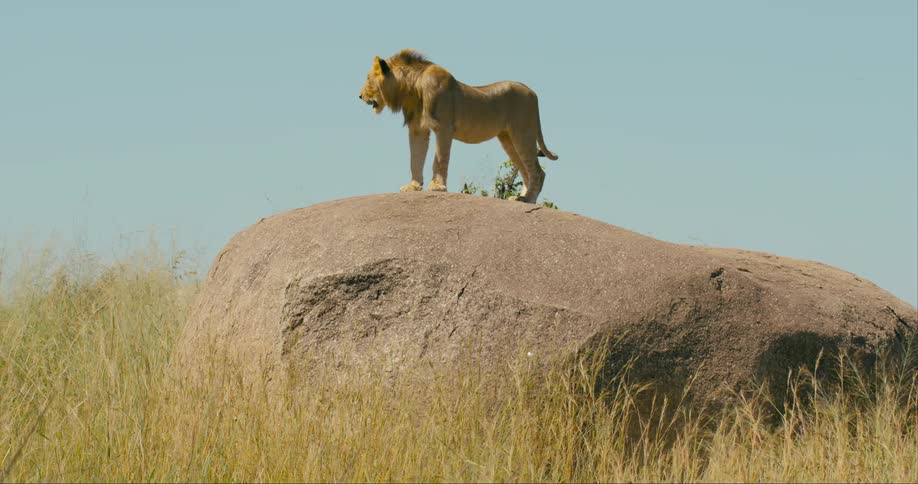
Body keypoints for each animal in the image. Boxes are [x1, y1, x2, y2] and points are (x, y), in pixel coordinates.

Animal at [358, 49, 558, 203]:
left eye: (368, 78)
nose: (359, 96)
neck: (412, 87)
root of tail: (532, 92)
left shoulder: (443, 127)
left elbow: (439, 159)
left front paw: (437, 187)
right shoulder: (417, 129)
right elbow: (415, 159)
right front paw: (413, 186)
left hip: (522, 132)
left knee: (538, 172)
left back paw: (528, 199)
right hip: (507, 138)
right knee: (525, 170)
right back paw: (520, 199)